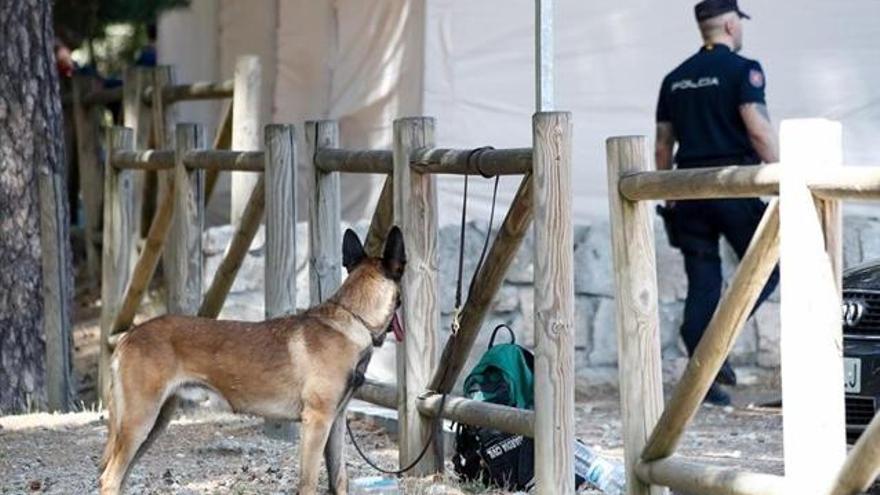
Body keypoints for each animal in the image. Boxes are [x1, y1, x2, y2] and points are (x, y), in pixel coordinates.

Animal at [98, 227, 408, 494]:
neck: (353, 320)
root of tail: (128, 336)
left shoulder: (336, 420)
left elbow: (339, 478)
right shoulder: (317, 421)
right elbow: (308, 483)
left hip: (154, 423)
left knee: (120, 477)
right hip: (139, 422)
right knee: (110, 478)